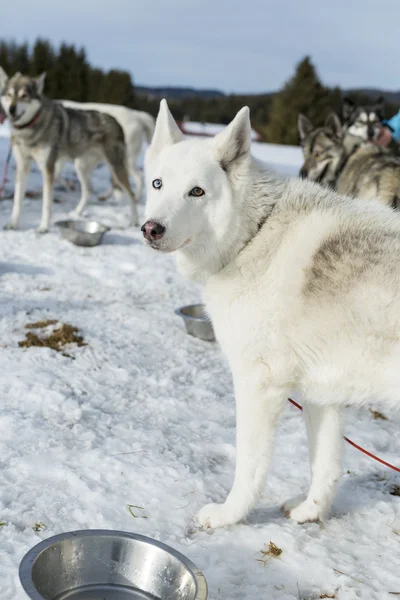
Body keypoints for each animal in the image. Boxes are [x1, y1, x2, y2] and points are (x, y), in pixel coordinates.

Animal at [143, 99, 400, 528]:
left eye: (197, 192)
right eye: (157, 184)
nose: (152, 229)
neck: (254, 234)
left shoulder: (258, 385)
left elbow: (250, 465)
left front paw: (230, 515)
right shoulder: (322, 393)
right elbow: (325, 465)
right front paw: (311, 511)